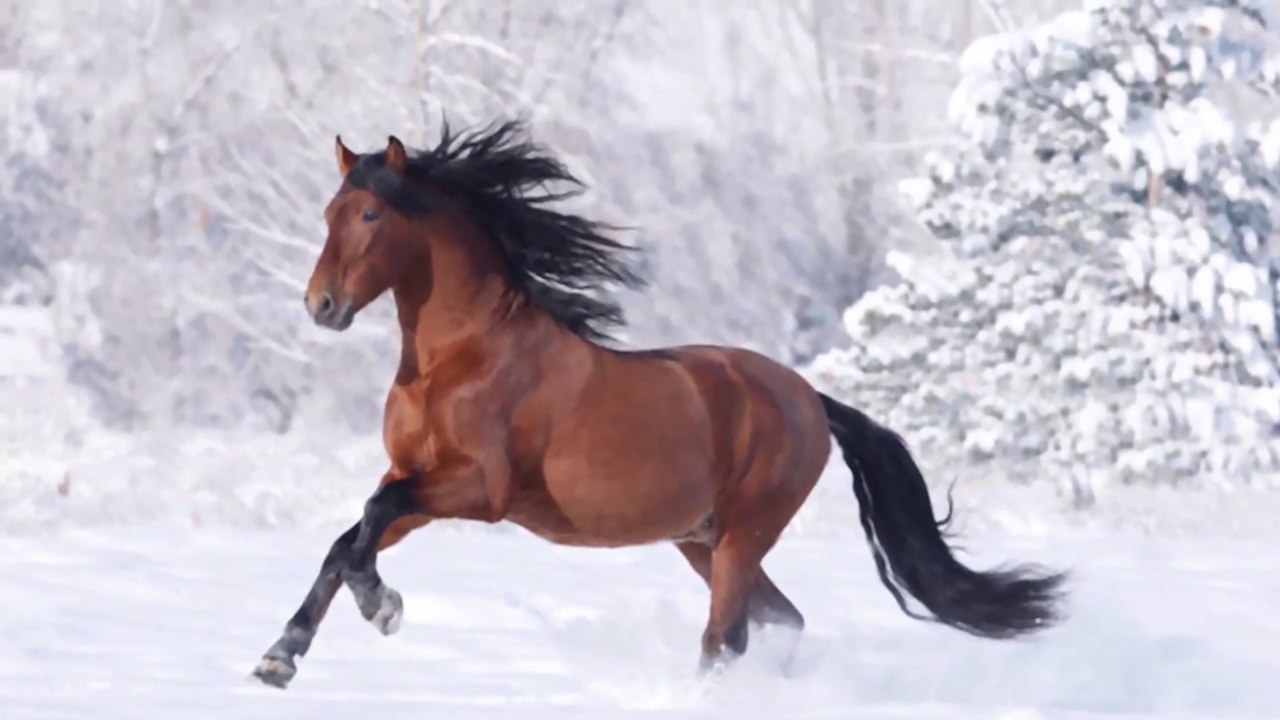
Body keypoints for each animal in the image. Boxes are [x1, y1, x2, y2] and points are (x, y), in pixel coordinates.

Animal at [251, 120, 1067, 689]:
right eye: (329, 211)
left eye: (370, 217)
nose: (321, 305)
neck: (461, 357)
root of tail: (807, 396)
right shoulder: (413, 479)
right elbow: (348, 539)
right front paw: (280, 657)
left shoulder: (478, 489)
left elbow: (367, 523)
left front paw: (381, 607)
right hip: (701, 540)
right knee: (779, 620)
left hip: (743, 534)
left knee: (725, 638)